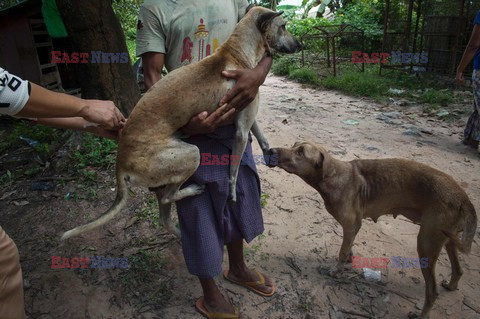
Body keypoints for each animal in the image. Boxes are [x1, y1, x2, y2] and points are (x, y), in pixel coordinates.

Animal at [270, 143, 476, 319]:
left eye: (301, 152)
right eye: (294, 145)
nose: (271, 150)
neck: (332, 177)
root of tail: (463, 198)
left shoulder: (351, 225)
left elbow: (342, 251)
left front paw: (336, 271)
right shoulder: (352, 228)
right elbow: (348, 248)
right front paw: (348, 260)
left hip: (426, 244)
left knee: (432, 292)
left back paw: (421, 315)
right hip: (447, 239)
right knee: (458, 270)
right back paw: (451, 285)